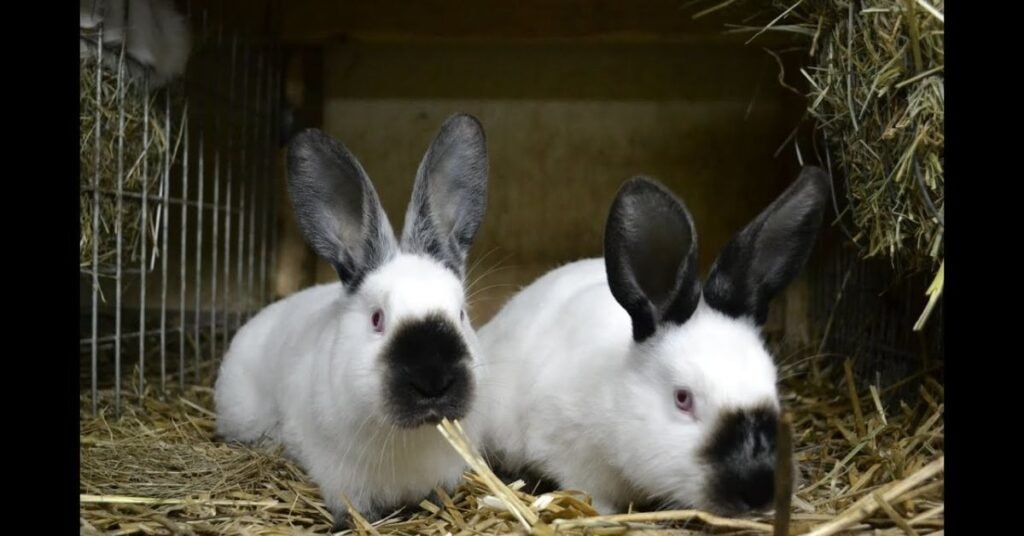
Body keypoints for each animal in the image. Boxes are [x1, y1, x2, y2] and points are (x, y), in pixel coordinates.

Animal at [214, 113, 490, 530]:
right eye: (377, 319)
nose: (433, 382)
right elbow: (353, 509)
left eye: (461, 314)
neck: (407, 438)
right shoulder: (339, 476)